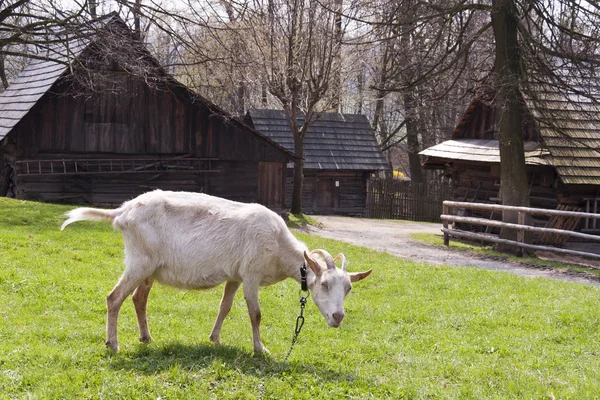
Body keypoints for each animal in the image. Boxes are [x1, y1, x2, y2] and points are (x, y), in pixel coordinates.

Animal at [61, 189, 370, 352]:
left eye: (349, 288)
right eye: (324, 285)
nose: (338, 317)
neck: (279, 245)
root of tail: (122, 212)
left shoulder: (235, 276)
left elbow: (225, 307)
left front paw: (215, 339)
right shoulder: (251, 274)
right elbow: (255, 313)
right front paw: (260, 349)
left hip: (150, 268)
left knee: (138, 299)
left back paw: (146, 337)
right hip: (139, 262)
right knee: (114, 297)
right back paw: (112, 344)